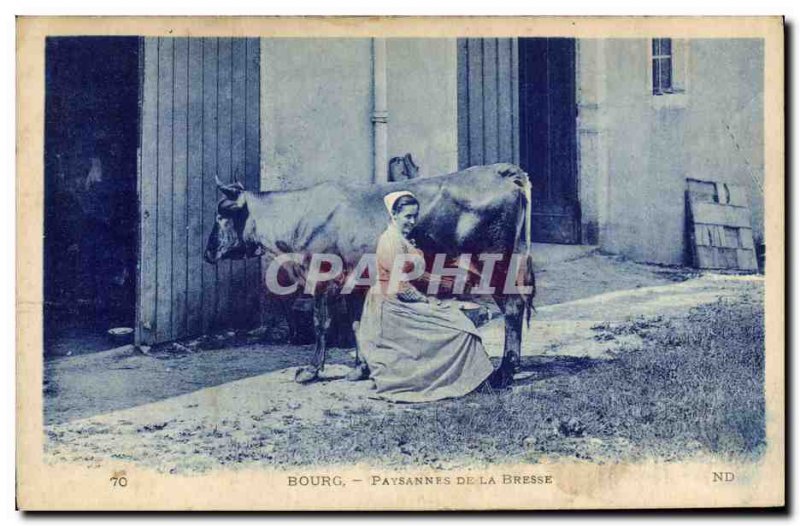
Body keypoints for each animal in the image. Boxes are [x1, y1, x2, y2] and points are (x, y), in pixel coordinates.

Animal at [203, 163, 536, 390]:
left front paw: (311, 371)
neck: (301, 216)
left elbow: (321, 324)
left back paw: (504, 371)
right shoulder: (355, 282)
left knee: (512, 308)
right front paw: (360, 369)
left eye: (220, 215)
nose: (207, 253)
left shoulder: (322, 278)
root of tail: (500, 171)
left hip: (495, 266)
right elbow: (356, 324)